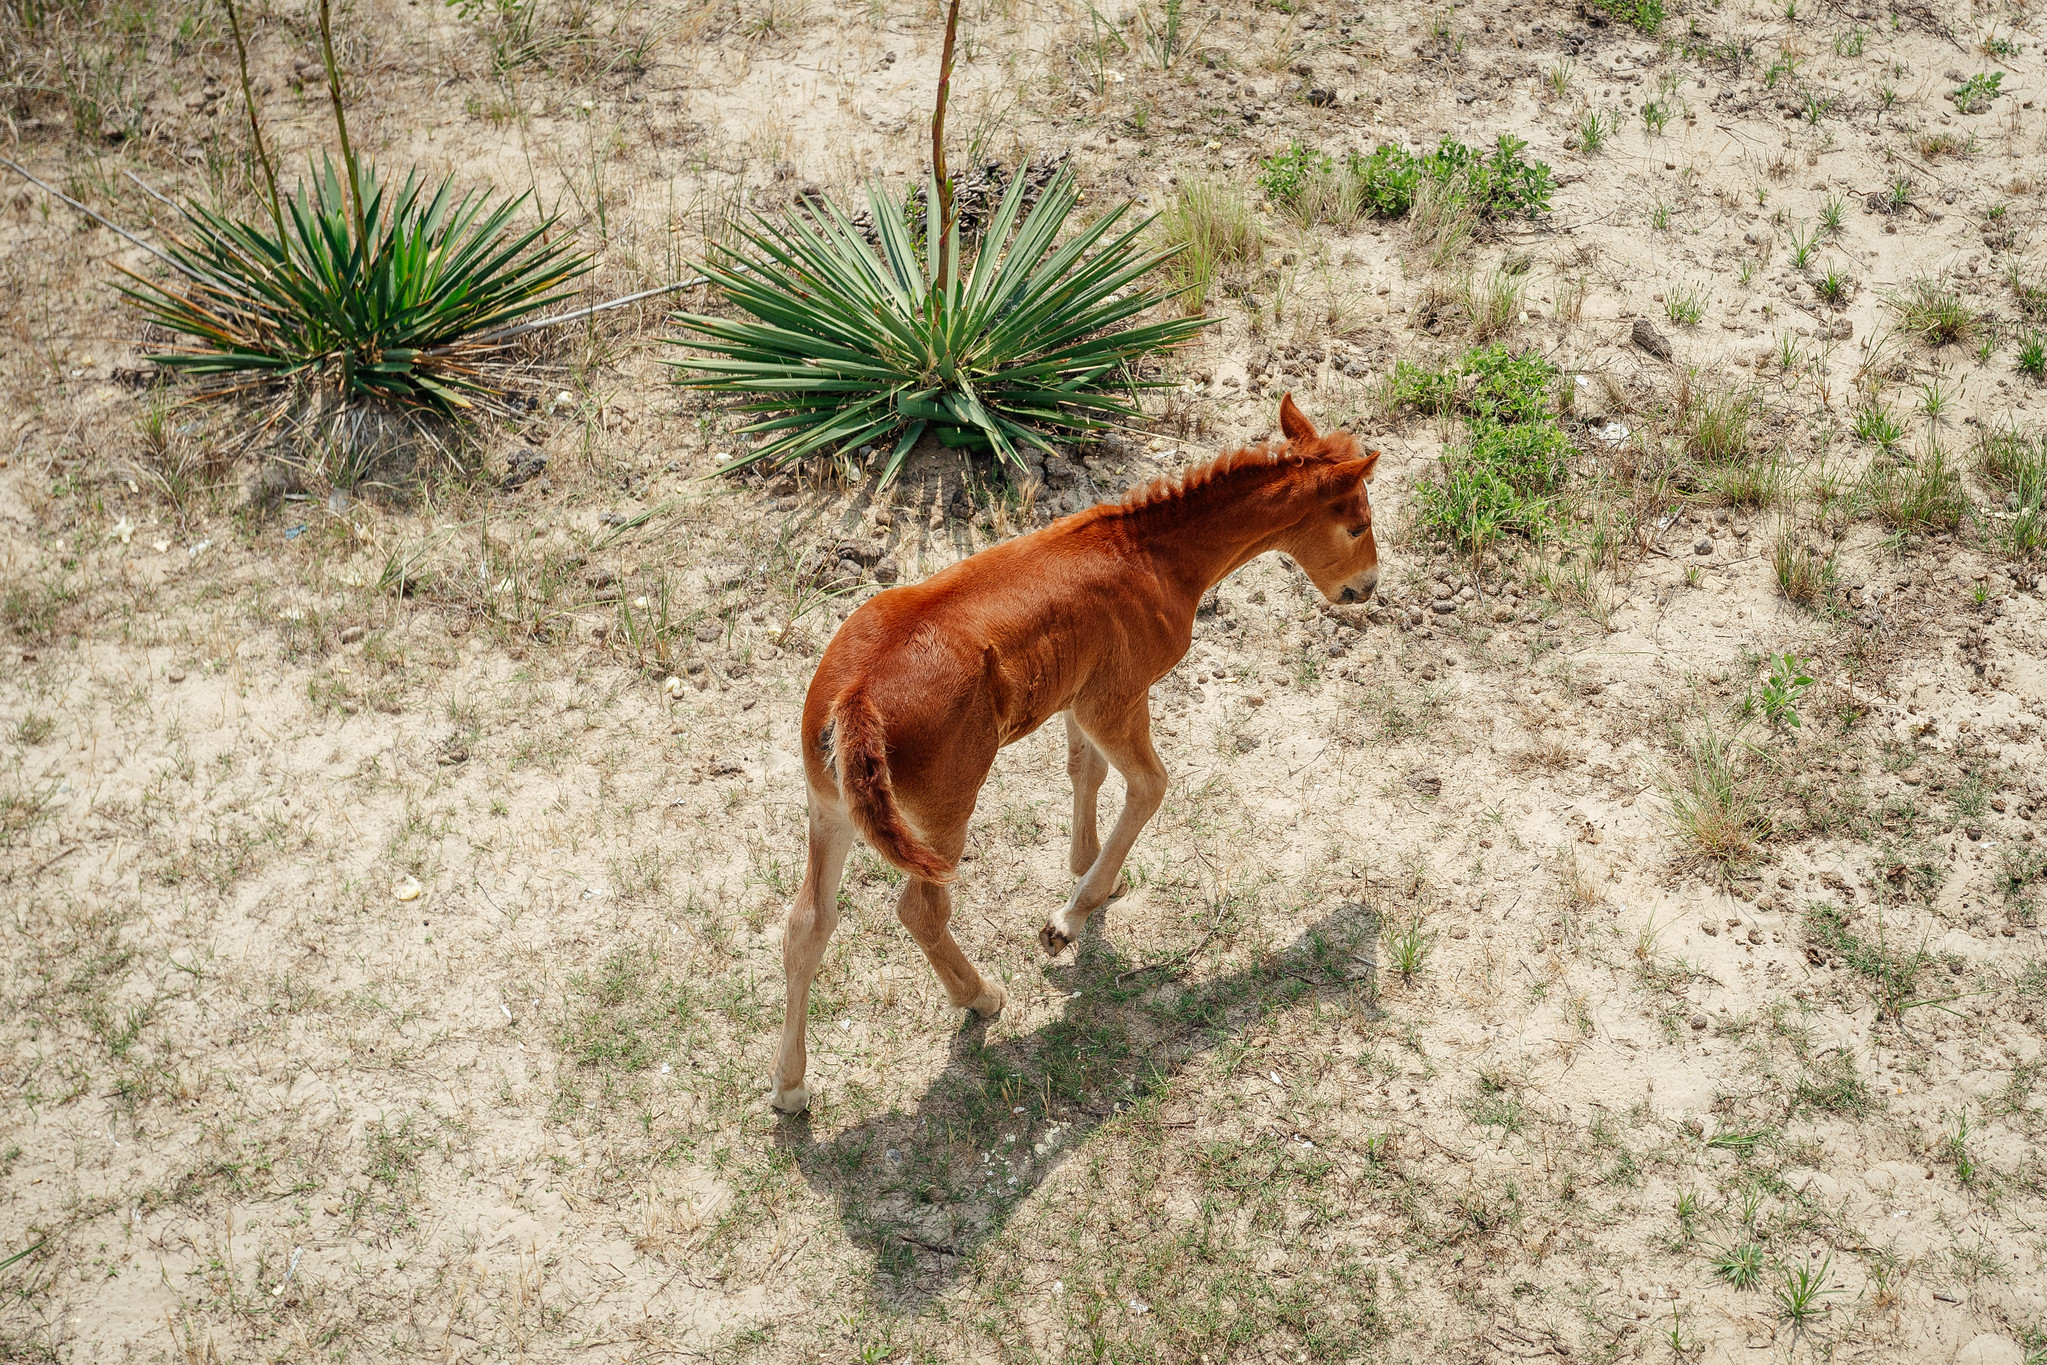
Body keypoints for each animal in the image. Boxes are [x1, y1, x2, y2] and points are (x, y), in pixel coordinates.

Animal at [770, 393, 1382, 1113]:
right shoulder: (1116, 696)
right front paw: (1069, 918)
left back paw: (790, 1086)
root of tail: (856, 698)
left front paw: (1091, 870)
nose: (1367, 588)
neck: (1151, 554)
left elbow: (1083, 769)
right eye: (1357, 524)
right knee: (920, 908)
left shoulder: (1076, 695)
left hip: (828, 807)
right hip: (945, 806)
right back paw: (980, 997)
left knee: (808, 921)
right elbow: (1149, 784)